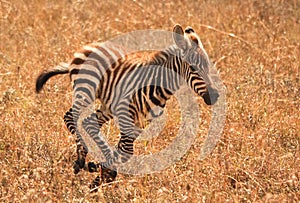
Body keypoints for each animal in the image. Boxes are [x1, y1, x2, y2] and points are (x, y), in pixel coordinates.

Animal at [35, 24, 218, 190]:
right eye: (193, 68)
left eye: (209, 67)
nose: (215, 96)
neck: (158, 85)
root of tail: (86, 47)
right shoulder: (126, 113)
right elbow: (127, 150)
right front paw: (103, 173)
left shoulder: (141, 122)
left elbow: (123, 150)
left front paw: (103, 172)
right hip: (86, 90)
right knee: (70, 116)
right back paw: (82, 159)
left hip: (107, 105)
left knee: (89, 122)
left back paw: (85, 160)